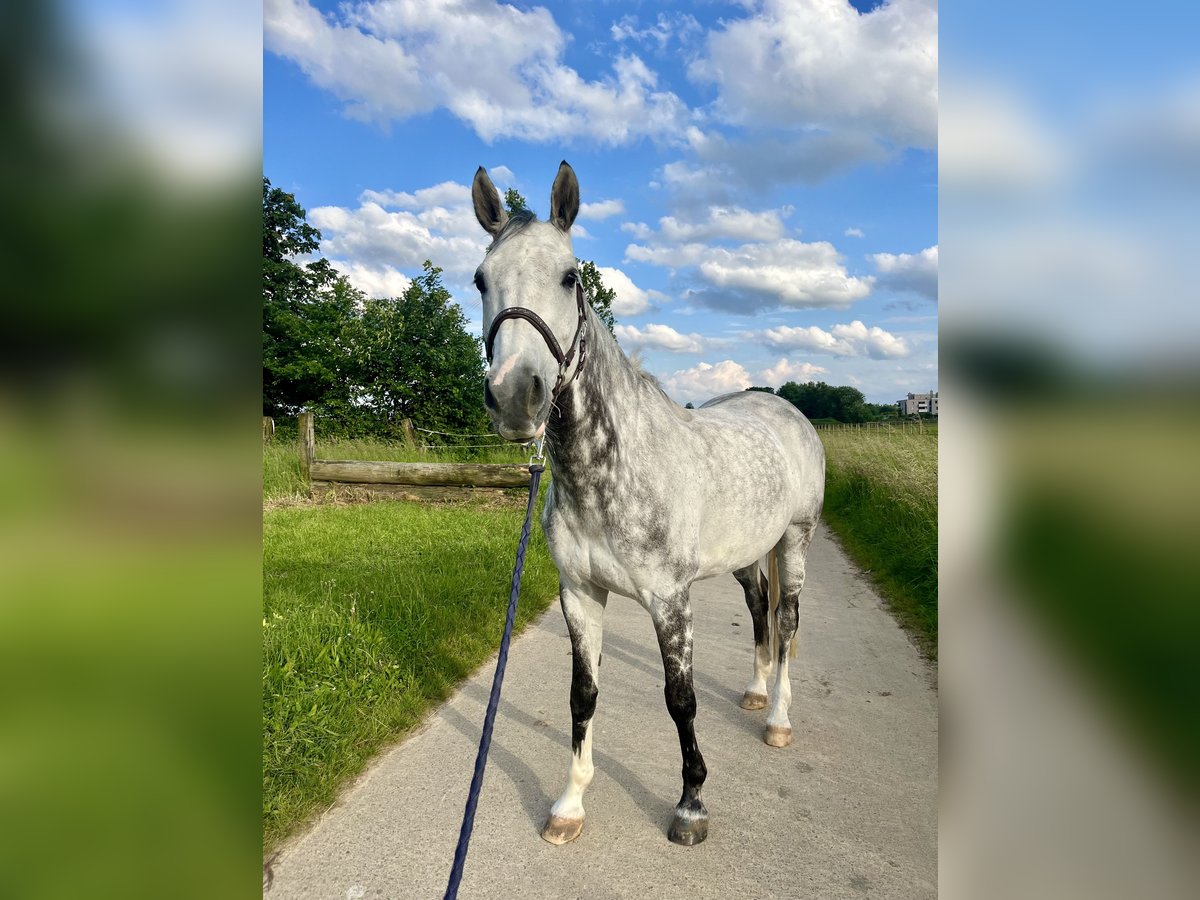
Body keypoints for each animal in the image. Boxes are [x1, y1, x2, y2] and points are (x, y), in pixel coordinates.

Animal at [468, 164, 825, 854]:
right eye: (479, 279)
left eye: (570, 276)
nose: (516, 395)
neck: (611, 476)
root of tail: (784, 408)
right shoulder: (579, 593)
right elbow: (582, 696)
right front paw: (569, 805)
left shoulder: (669, 600)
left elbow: (680, 699)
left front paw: (691, 806)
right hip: (746, 556)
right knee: (759, 614)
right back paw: (754, 693)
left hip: (794, 539)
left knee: (787, 621)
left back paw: (777, 719)